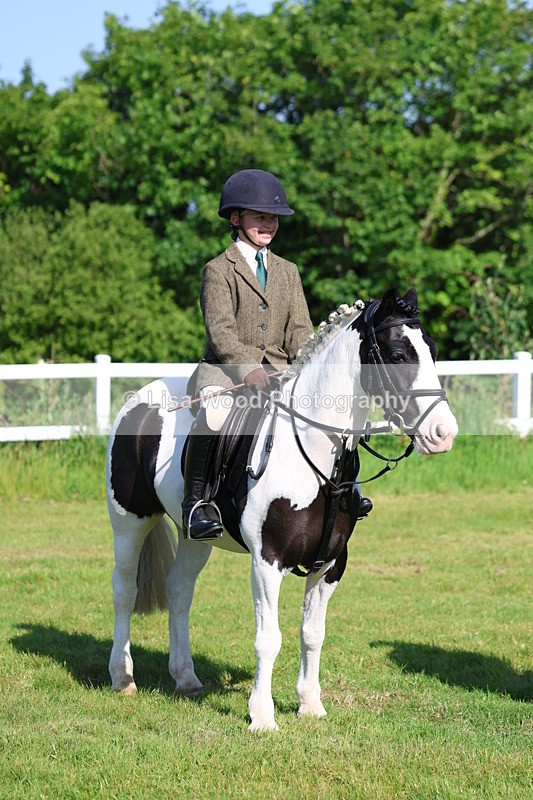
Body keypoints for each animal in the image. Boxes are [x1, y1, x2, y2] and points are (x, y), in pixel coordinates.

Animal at [106, 288, 458, 731]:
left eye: (432, 351)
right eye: (397, 355)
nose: (443, 434)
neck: (316, 453)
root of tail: (138, 400)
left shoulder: (331, 564)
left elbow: (312, 633)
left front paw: (310, 704)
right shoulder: (267, 562)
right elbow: (268, 638)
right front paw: (262, 716)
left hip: (195, 537)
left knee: (179, 591)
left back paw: (186, 678)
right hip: (128, 522)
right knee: (125, 590)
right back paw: (122, 677)